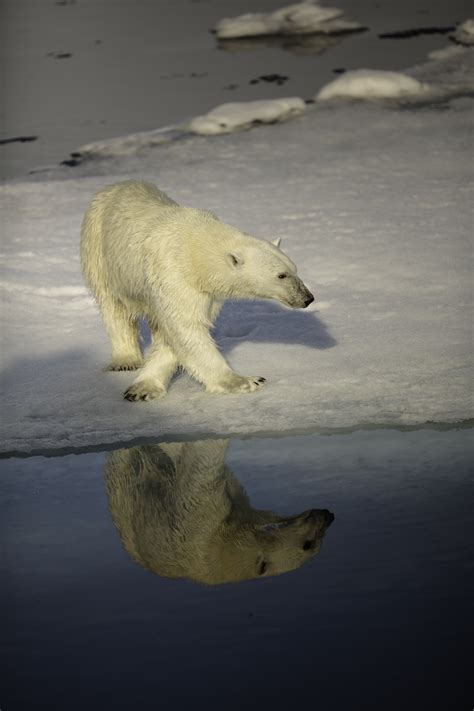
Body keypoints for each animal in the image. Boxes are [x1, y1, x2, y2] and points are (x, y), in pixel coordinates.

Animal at [79, 182, 312, 400]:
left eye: (295, 269)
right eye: (281, 275)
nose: (307, 298)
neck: (195, 247)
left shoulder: (207, 294)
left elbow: (173, 335)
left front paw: (144, 388)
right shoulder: (173, 273)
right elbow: (186, 328)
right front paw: (248, 381)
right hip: (99, 252)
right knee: (114, 309)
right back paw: (125, 360)